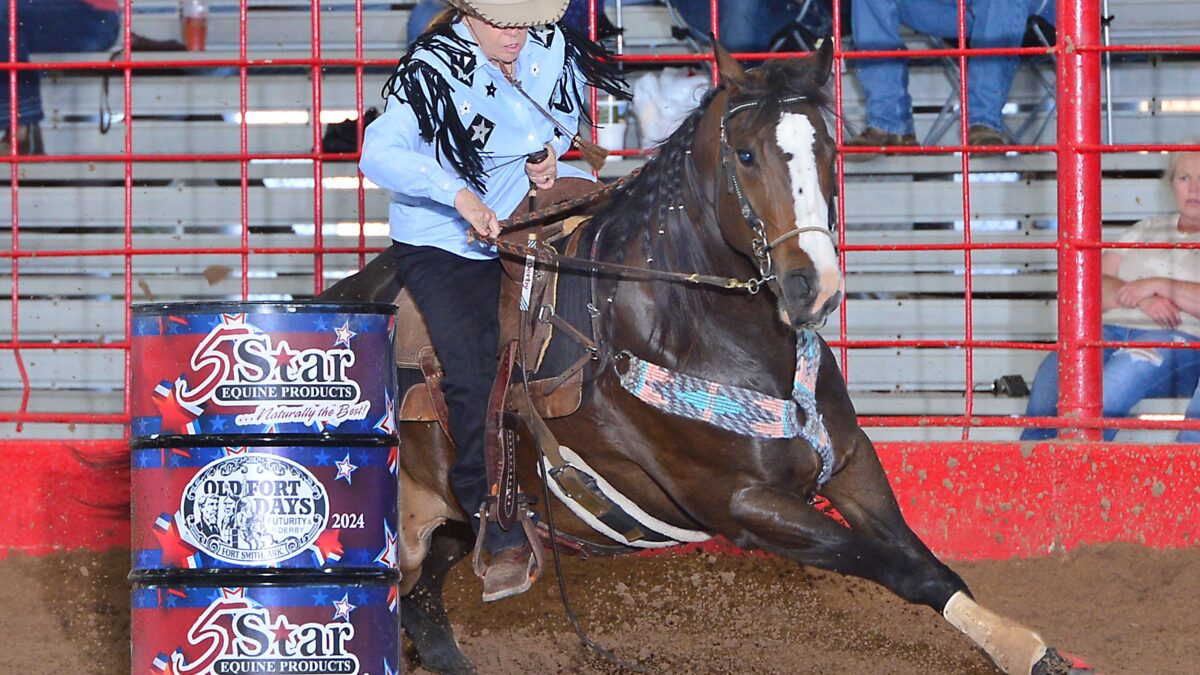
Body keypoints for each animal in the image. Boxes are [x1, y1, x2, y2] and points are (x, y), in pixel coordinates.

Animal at [321, 41, 1089, 675]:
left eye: (828, 150)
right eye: (745, 155)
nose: (814, 285)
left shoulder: (850, 463)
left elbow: (928, 563)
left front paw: (1032, 649)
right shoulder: (744, 505)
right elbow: (900, 569)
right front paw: (1029, 649)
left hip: (449, 524)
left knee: (425, 608)